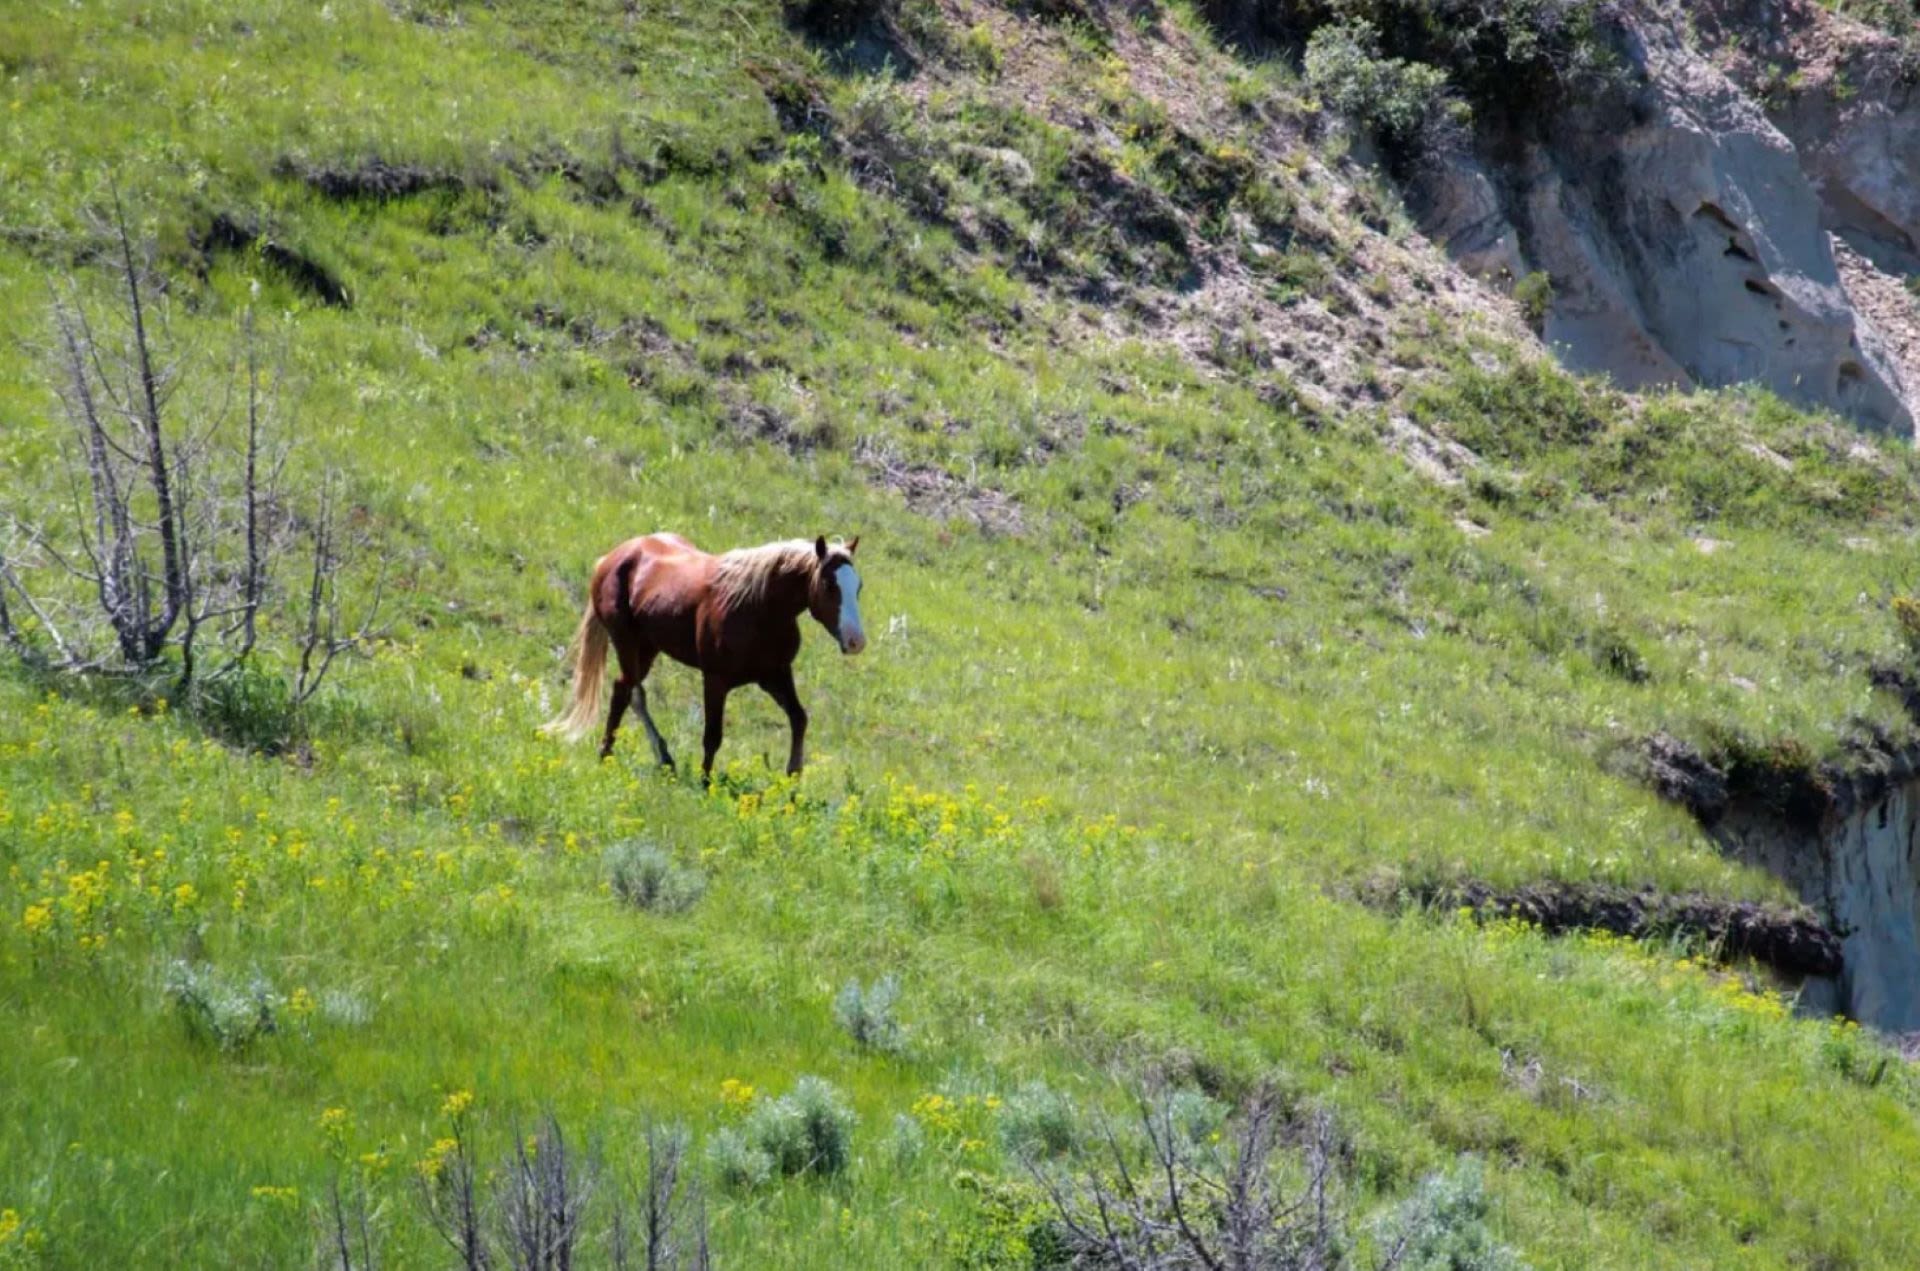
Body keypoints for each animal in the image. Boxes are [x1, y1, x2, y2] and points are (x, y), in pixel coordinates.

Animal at [545, 533, 867, 783]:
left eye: (858, 587)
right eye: (829, 584)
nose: (856, 641)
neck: (757, 606)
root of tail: (612, 558)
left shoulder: (775, 675)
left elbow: (799, 718)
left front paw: (793, 776)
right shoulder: (715, 680)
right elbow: (713, 735)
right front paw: (705, 782)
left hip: (648, 647)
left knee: (628, 690)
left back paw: (660, 758)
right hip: (626, 642)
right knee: (625, 692)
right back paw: (610, 754)